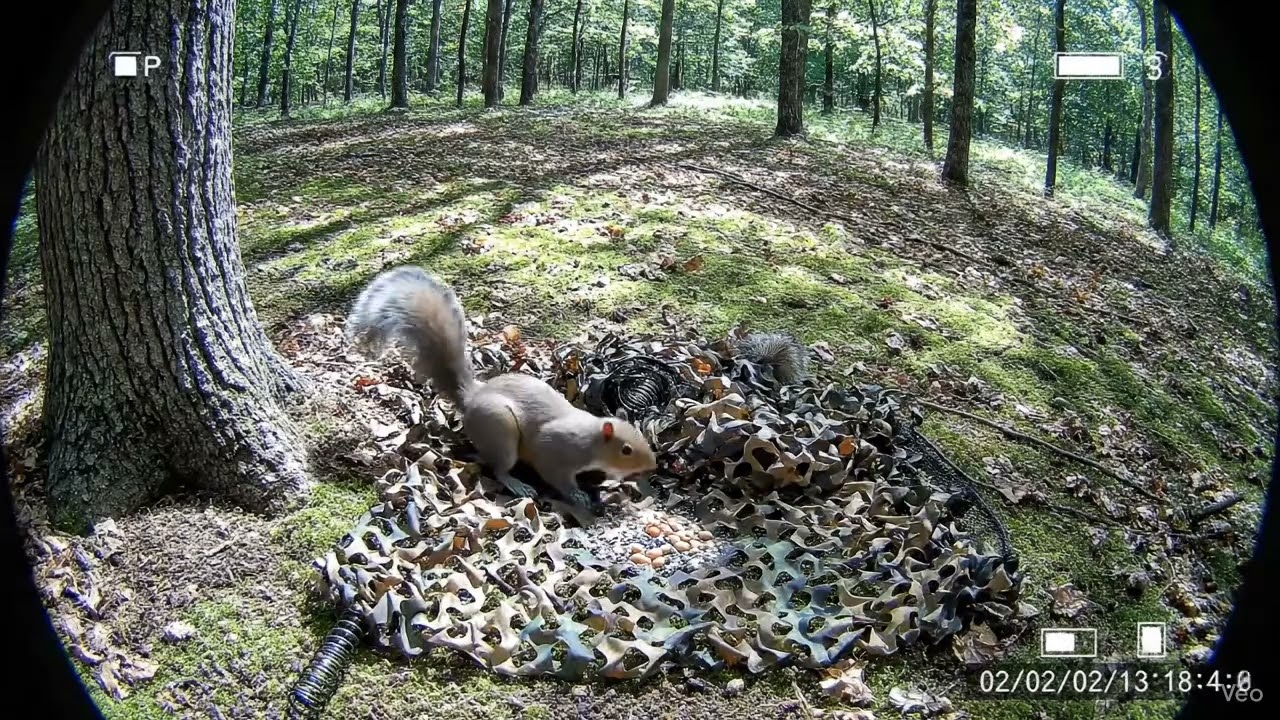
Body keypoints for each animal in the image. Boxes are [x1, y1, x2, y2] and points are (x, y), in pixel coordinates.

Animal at [344, 266, 658, 507]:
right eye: (626, 449)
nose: (653, 465)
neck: (591, 439)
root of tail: (471, 399)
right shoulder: (556, 452)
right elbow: (555, 475)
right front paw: (578, 495)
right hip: (500, 431)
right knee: (497, 467)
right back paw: (517, 484)